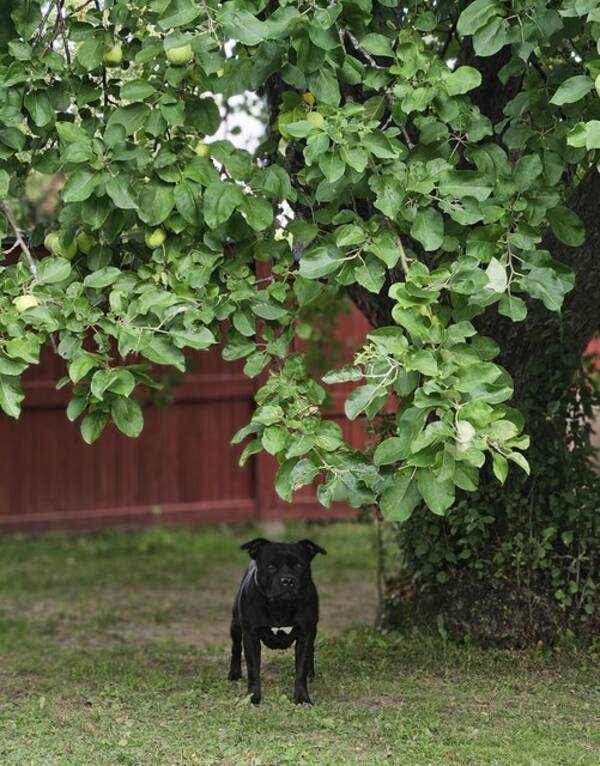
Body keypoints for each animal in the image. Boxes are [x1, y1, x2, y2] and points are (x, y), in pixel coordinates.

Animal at [229, 536, 326, 704]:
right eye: (271, 566)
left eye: (299, 565)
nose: (287, 580)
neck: (279, 606)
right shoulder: (251, 637)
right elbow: (253, 669)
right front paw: (253, 697)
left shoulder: (305, 634)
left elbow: (301, 668)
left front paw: (302, 698)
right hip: (236, 625)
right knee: (235, 646)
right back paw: (234, 674)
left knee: (311, 650)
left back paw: (311, 673)